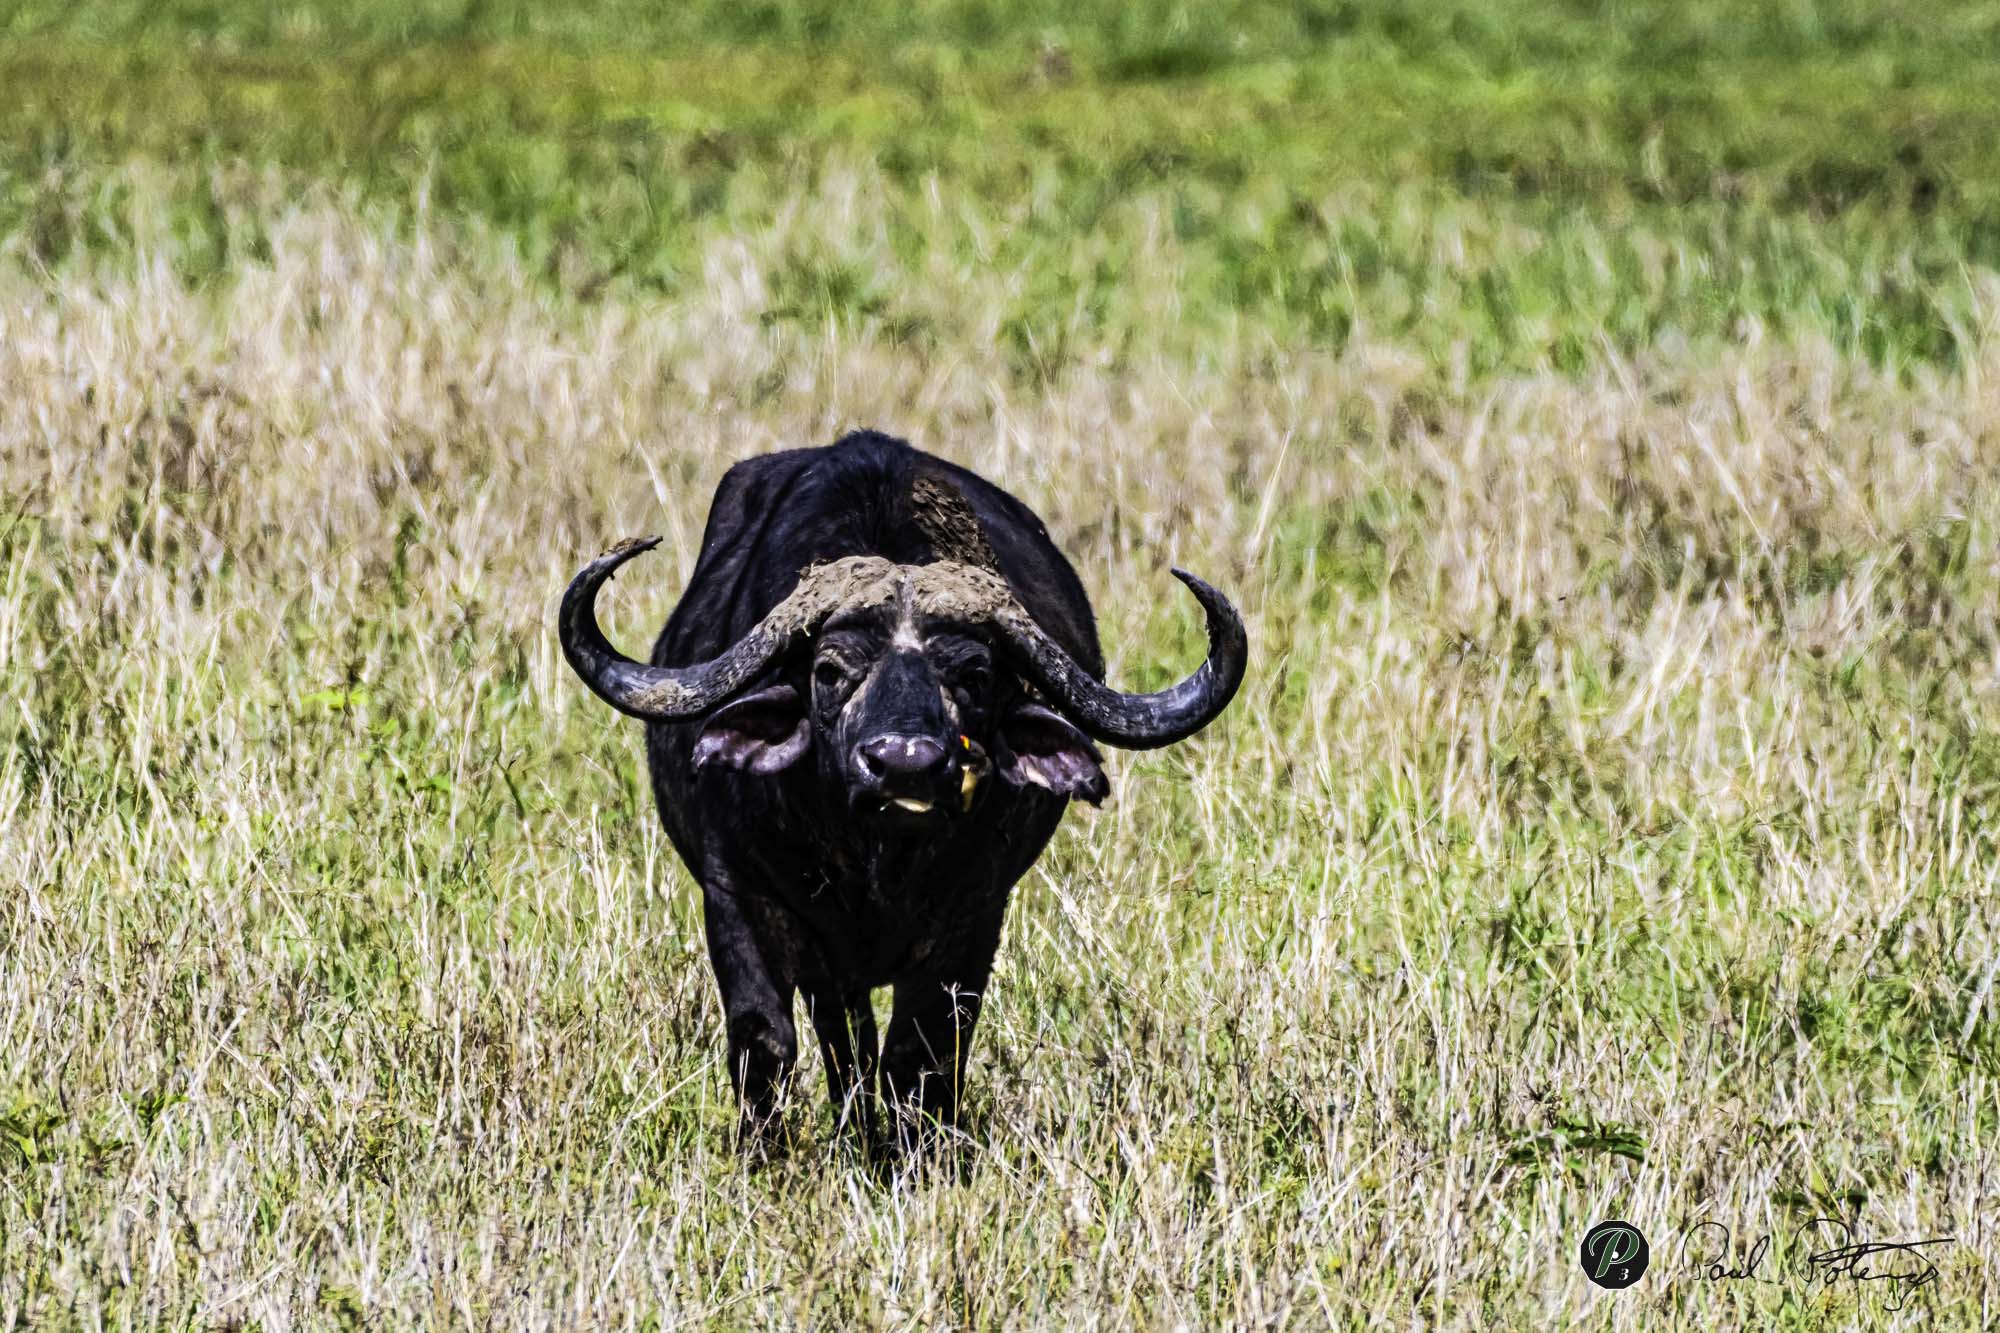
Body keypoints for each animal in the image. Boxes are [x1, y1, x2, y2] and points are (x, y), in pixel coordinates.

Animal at [560, 431, 1245, 1150]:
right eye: (830, 670)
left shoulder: (973, 916)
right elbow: (766, 1039)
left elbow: (921, 1054)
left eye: (973, 675)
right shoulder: (738, 895)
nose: (903, 765)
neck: (874, 862)